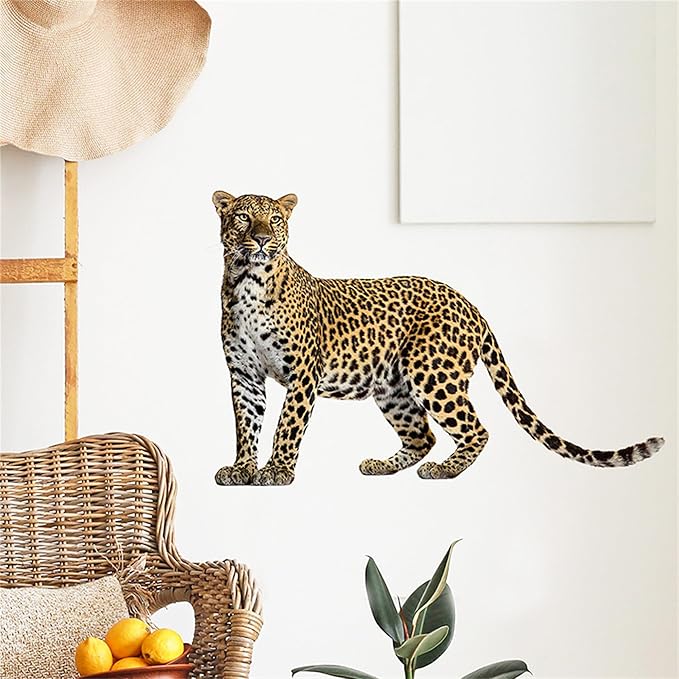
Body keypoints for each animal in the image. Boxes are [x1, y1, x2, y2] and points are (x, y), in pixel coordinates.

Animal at [212, 190, 664, 486]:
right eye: (243, 217)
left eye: (275, 220)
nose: (262, 239)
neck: (247, 281)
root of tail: (471, 304)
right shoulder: (244, 375)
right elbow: (247, 424)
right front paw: (243, 468)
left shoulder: (304, 371)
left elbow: (287, 423)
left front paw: (276, 471)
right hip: (394, 387)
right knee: (423, 435)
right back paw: (382, 465)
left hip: (433, 373)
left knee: (476, 430)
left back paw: (444, 470)